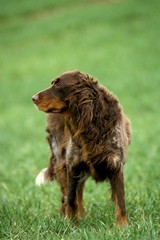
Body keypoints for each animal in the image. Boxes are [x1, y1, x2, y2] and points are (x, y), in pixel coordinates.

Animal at [32, 70, 131, 226]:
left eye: (58, 85)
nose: (33, 98)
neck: (93, 124)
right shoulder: (72, 164)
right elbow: (71, 199)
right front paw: (71, 224)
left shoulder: (115, 164)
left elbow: (120, 201)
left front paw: (122, 227)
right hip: (61, 163)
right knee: (68, 195)